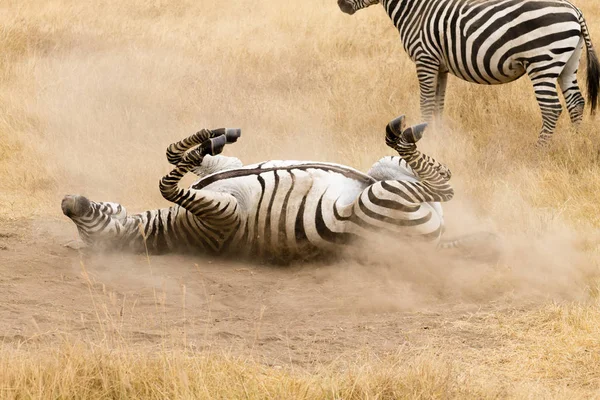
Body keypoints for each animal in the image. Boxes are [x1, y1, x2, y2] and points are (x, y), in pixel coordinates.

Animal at [59, 117, 492, 260]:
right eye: (93, 229)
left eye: (101, 210)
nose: (67, 202)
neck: (174, 227)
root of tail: (432, 245)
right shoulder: (222, 216)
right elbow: (167, 184)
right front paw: (211, 139)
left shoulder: (225, 172)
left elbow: (172, 156)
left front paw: (213, 134)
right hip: (381, 198)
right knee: (444, 186)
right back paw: (404, 133)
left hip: (383, 174)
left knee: (438, 182)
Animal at [338, 0, 600, 145]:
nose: (340, 4)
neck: (415, 10)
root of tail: (574, 9)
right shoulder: (440, 66)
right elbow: (438, 104)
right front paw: (438, 137)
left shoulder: (425, 58)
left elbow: (426, 102)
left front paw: (423, 139)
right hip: (567, 62)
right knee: (576, 102)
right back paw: (574, 143)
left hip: (543, 61)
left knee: (552, 109)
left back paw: (539, 152)